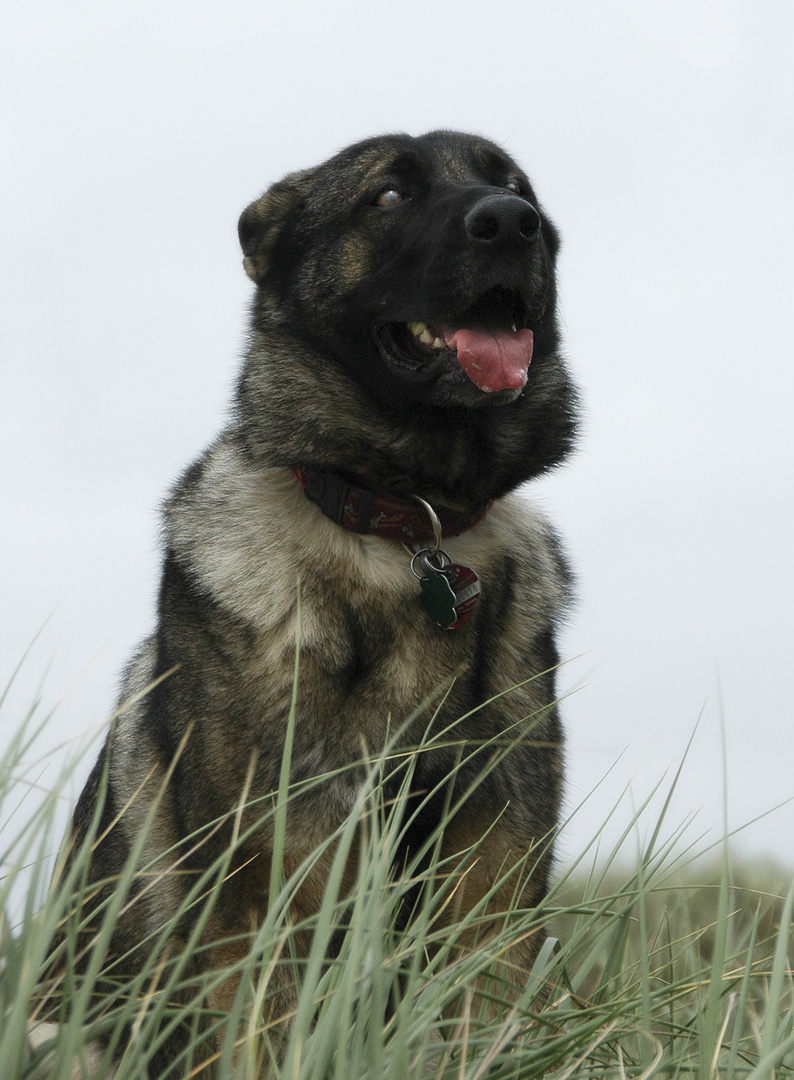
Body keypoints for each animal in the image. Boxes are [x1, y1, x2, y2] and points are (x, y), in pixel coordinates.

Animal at [54, 130, 579, 1075]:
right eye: (387, 195)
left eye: (515, 184)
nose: (511, 221)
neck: (405, 524)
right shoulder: (268, 885)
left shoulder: (490, 881)